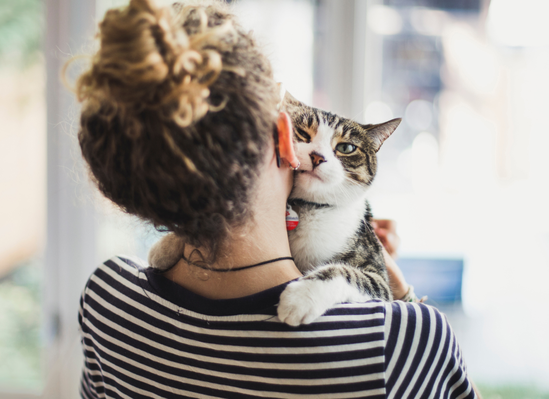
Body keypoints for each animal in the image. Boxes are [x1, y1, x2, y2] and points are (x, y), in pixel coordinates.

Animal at [148, 94, 400, 328]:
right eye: (302, 133)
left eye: (346, 147)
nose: (317, 156)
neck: (307, 210)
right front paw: (166, 247)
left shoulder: (378, 275)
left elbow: (347, 273)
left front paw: (301, 297)